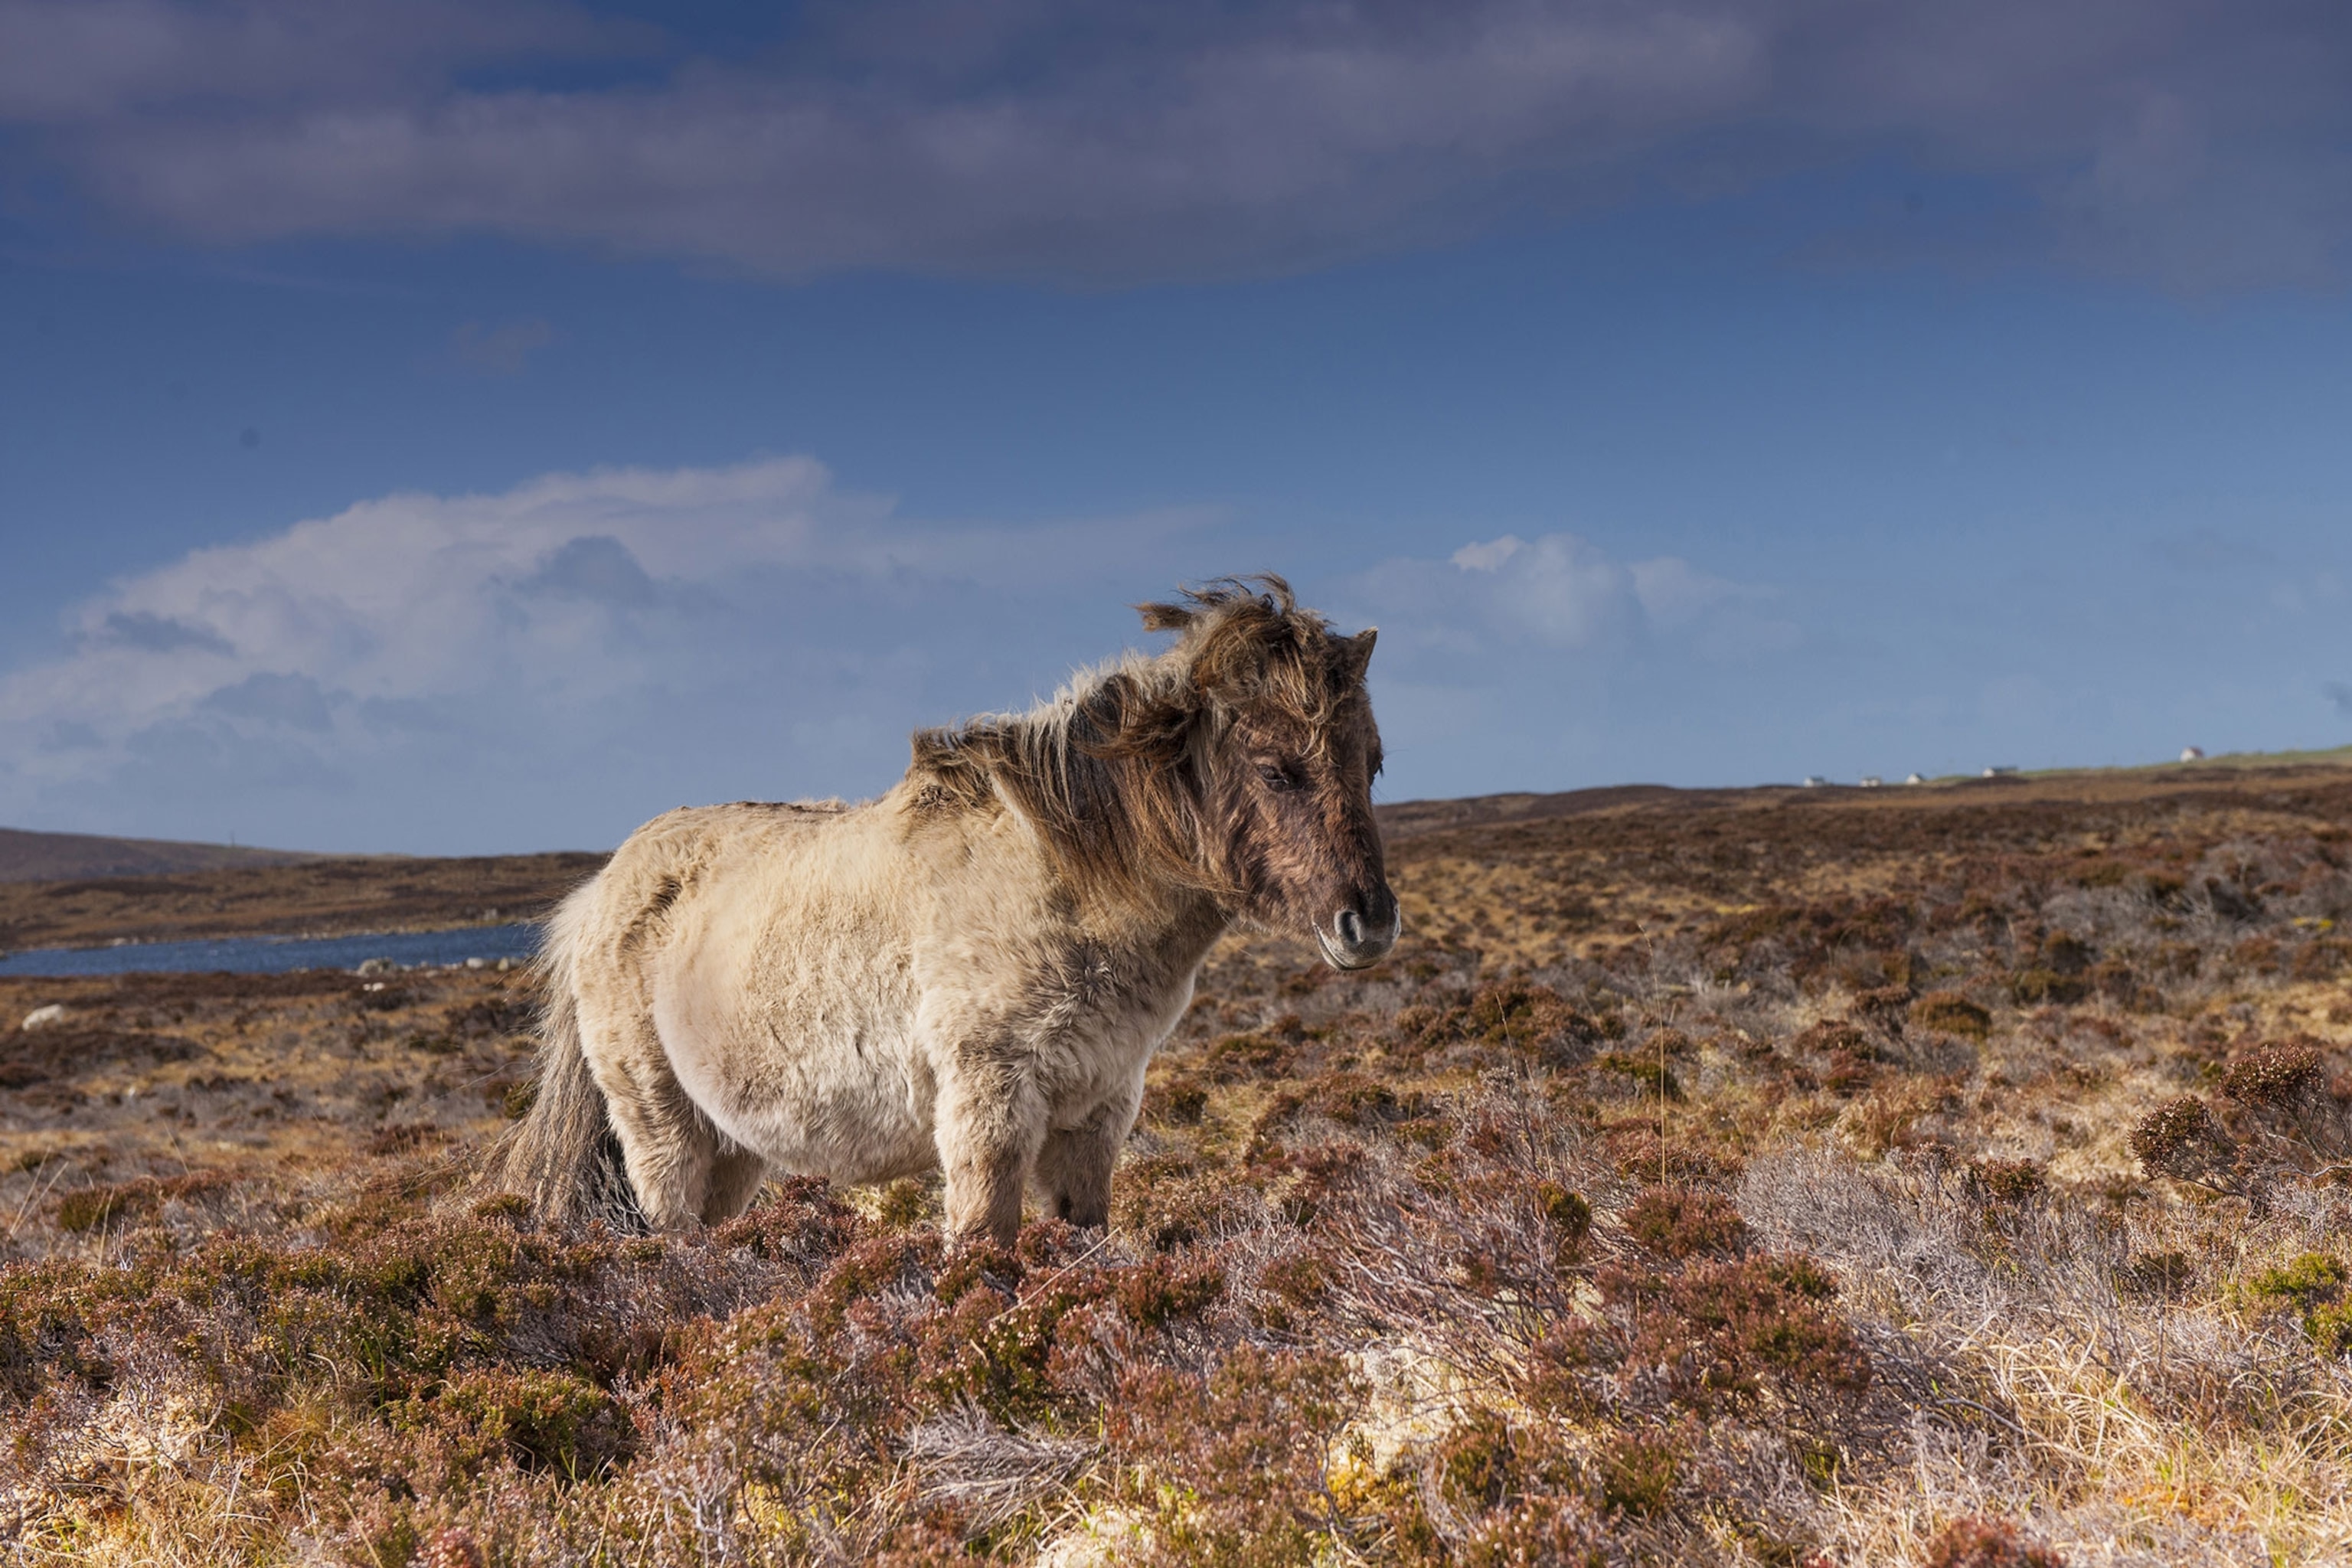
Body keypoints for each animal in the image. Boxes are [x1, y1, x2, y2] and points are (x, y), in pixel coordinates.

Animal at [496, 575, 1399, 1246]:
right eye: (1277, 770)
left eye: (1374, 763)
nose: (1369, 923)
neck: (1065, 879)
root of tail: (600, 891)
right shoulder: (988, 1105)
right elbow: (983, 1242)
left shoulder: (1096, 1113)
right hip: (662, 1130)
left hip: (733, 1147)